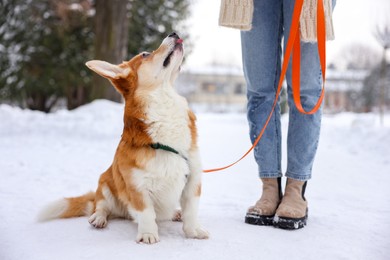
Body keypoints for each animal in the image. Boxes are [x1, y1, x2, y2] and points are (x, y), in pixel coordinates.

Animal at [38, 32, 210, 244]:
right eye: (145, 54)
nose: (174, 33)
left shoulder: (193, 180)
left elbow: (191, 212)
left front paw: (193, 231)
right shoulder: (138, 187)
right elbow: (146, 213)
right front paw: (148, 234)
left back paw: (175, 214)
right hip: (105, 183)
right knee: (101, 207)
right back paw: (98, 219)